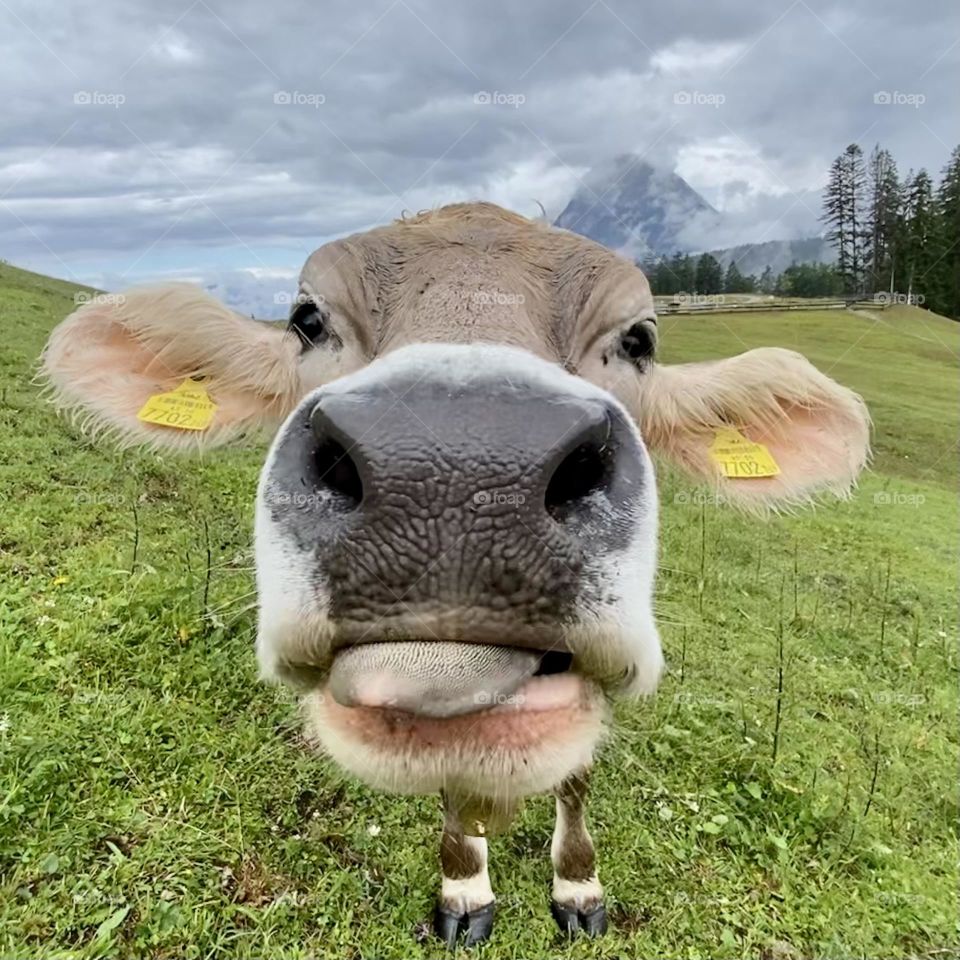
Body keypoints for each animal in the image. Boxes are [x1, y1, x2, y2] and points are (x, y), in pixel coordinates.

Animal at [41, 202, 869, 947]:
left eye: (639, 338)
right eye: (307, 320)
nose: (458, 471)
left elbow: (577, 777)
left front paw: (578, 887)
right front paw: (465, 890)